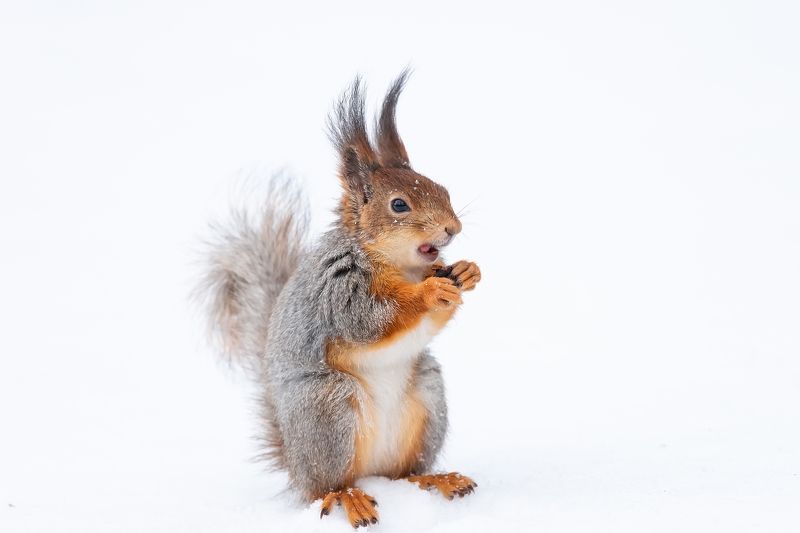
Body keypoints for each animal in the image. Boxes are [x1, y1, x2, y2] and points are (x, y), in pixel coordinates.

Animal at [199, 71, 482, 528]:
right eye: (399, 205)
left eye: (442, 189)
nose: (452, 229)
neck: (400, 267)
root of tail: (297, 466)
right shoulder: (338, 291)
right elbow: (371, 320)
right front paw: (429, 292)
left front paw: (468, 272)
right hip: (328, 409)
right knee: (326, 486)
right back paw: (349, 497)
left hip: (426, 396)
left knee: (403, 473)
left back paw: (437, 479)